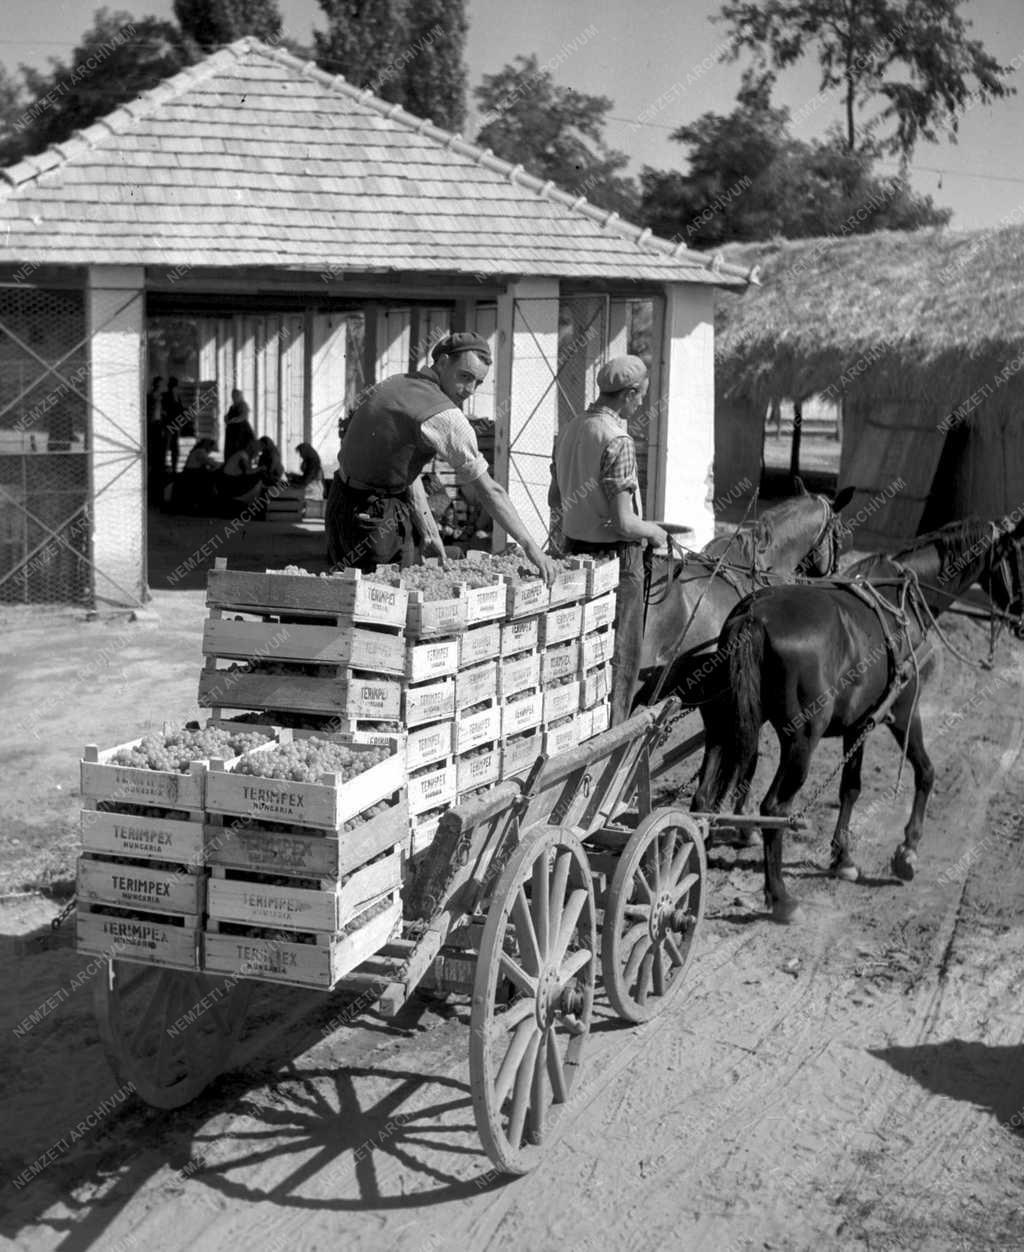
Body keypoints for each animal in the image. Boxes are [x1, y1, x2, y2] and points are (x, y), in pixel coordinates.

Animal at [691, 515, 1021, 921]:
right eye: (1023, 554)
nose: (1022, 622)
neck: (901, 600)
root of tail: (754, 616)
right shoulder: (903, 710)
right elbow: (925, 771)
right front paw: (908, 851)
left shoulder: (859, 723)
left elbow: (850, 787)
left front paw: (843, 857)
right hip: (802, 740)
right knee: (774, 809)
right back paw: (781, 897)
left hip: (723, 726)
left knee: (703, 798)